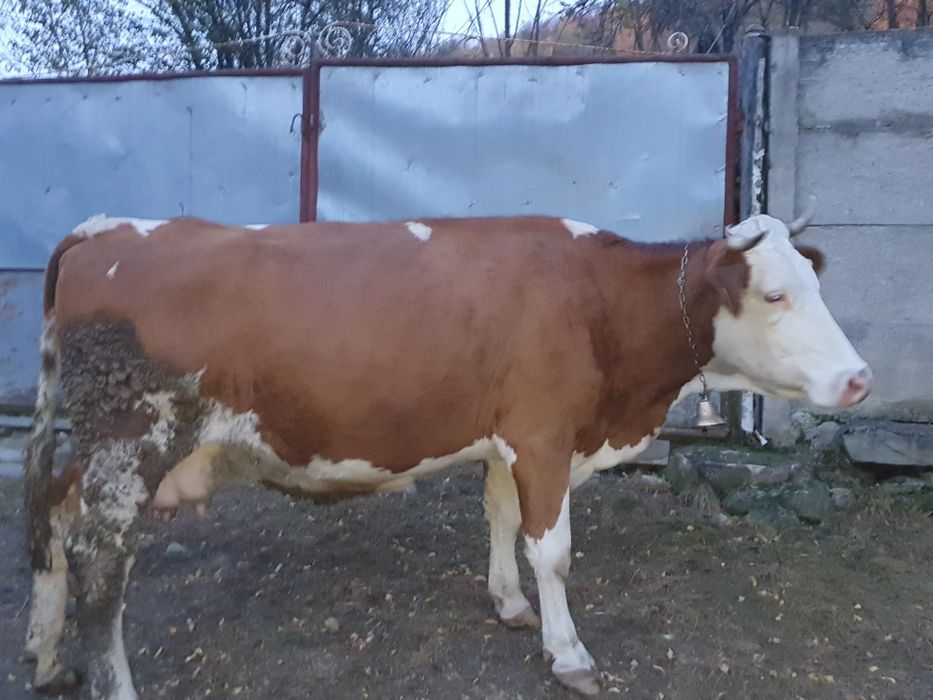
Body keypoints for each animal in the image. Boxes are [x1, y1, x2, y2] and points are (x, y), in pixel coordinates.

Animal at [23, 210, 871, 698]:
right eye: (772, 295)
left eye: (814, 285)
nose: (859, 378)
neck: (598, 300)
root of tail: (105, 227)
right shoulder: (543, 434)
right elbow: (552, 548)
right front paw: (568, 653)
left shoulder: (505, 437)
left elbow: (501, 520)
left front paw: (508, 603)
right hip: (134, 441)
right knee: (102, 557)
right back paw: (109, 680)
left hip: (101, 449)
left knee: (54, 514)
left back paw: (45, 652)